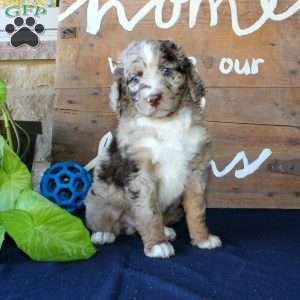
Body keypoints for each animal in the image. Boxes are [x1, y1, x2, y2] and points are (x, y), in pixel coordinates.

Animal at [85, 38, 221, 256]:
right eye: (134, 79)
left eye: (166, 70)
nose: (153, 98)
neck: (166, 122)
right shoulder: (140, 174)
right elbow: (149, 213)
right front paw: (157, 244)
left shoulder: (196, 171)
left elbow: (197, 209)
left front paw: (203, 239)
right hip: (100, 195)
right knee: (101, 217)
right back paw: (104, 233)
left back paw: (167, 230)